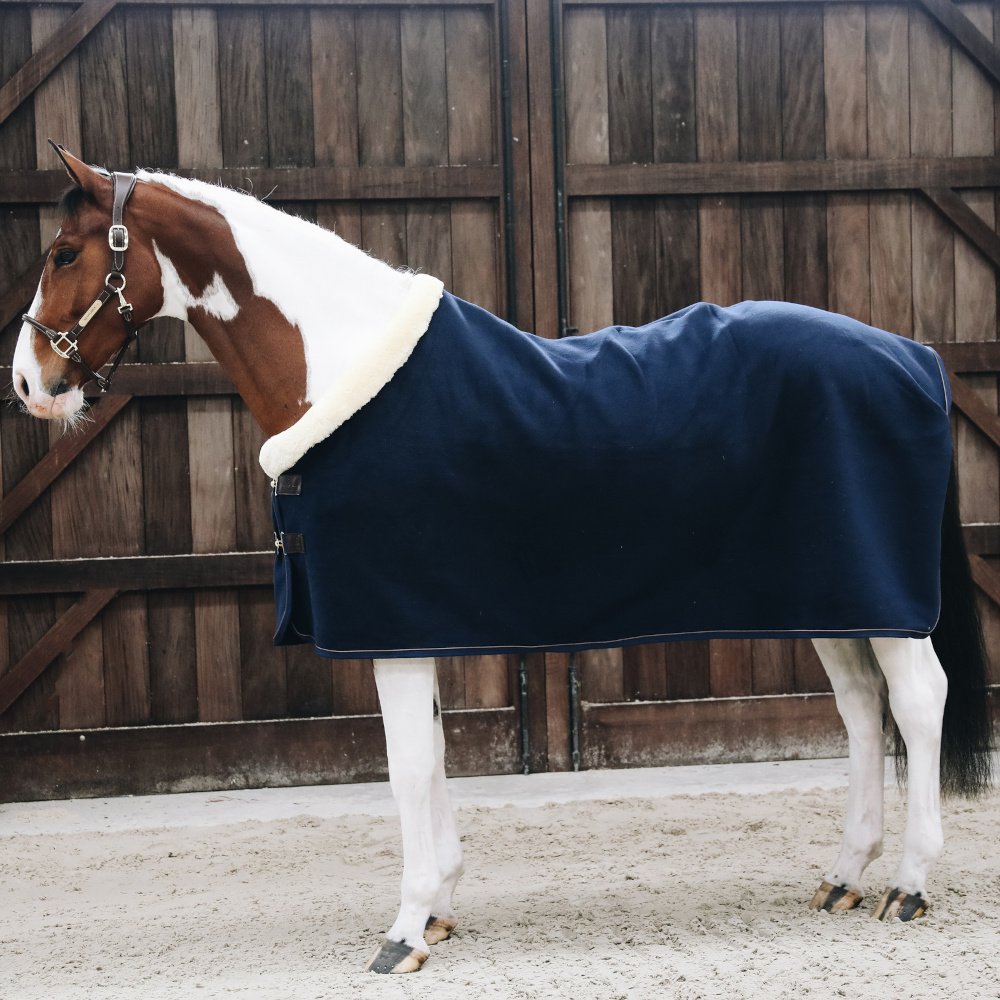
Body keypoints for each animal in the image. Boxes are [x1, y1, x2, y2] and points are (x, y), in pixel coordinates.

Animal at [11, 146, 994, 974]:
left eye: (65, 252)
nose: (28, 385)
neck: (347, 369)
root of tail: (914, 356)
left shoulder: (394, 627)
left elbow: (409, 767)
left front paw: (405, 931)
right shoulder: (415, 626)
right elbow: (436, 755)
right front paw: (440, 908)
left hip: (884, 603)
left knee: (918, 701)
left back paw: (909, 887)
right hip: (835, 598)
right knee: (863, 712)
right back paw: (845, 876)